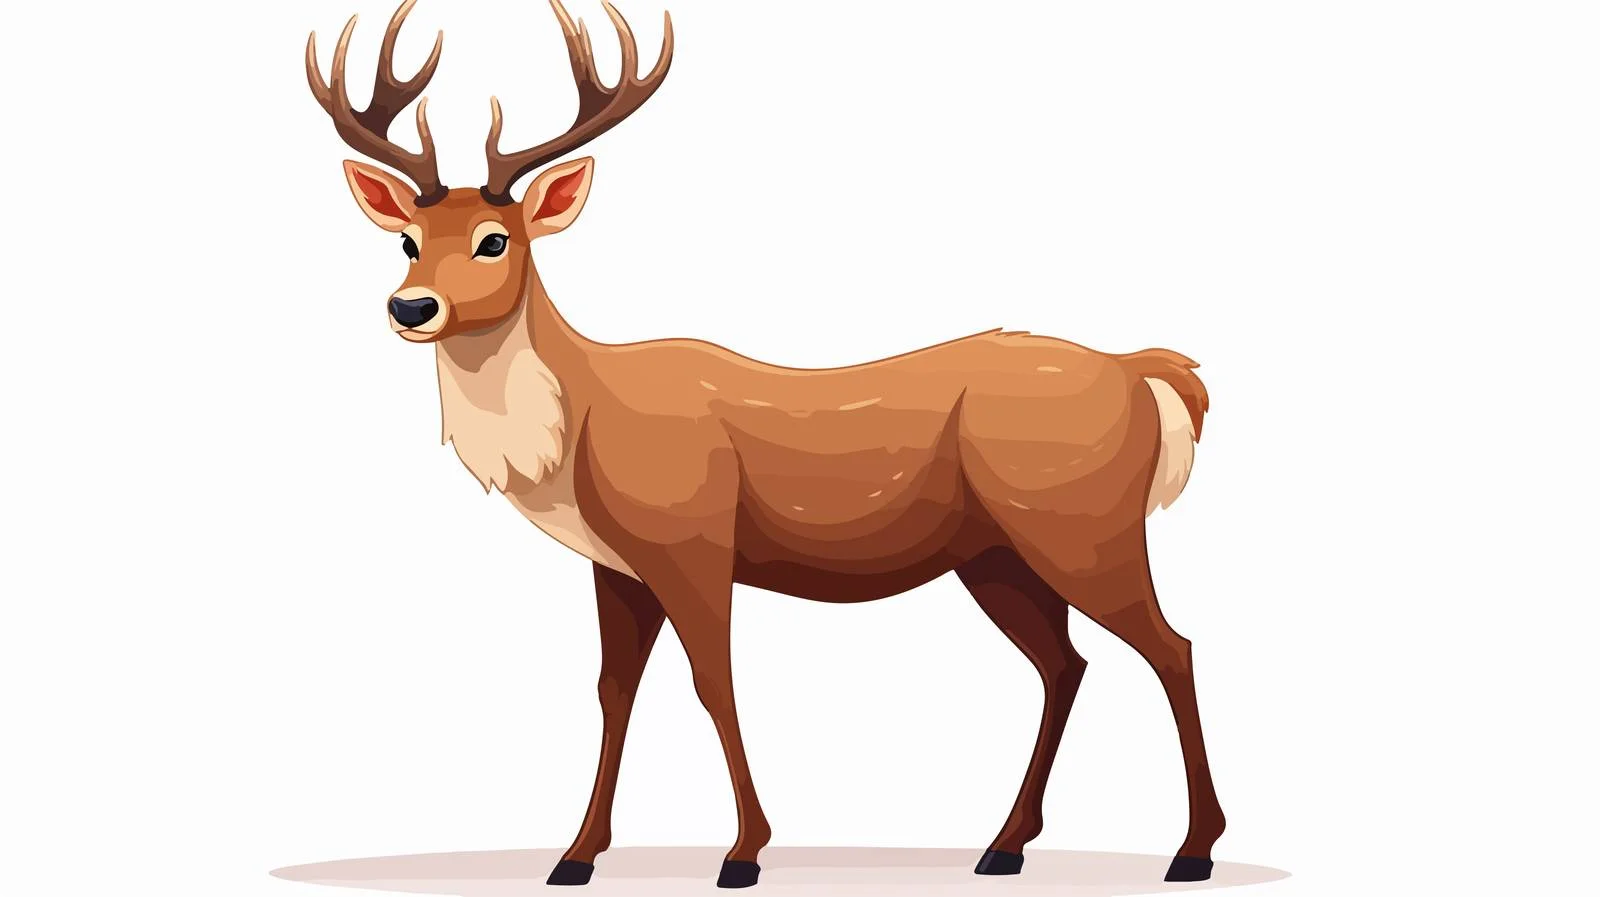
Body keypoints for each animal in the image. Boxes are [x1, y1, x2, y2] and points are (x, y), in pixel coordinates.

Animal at [305, 0, 1225, 889]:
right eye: (407, 241)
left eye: (495, 239)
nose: (411, 306)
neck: (578, 432)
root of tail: (1144, 375)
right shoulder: (616, 565)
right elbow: (612, 690)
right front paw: (576, 855)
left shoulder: (693, 538)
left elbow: (714, 681)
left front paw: (743, 852)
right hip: (996, 553)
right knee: (1065, 663)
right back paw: (1004, 844)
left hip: (1083, 525)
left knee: (1170, 645)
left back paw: (1193, 849)